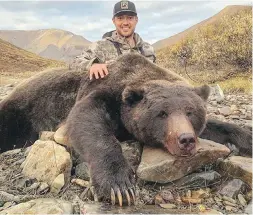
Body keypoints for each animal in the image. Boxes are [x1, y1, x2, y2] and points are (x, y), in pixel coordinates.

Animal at [0, 53, 251, 206]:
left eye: (190, 112)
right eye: (162, 113)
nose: (186, 139)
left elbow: (217, 127)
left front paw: (245, 137)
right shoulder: (100, 92)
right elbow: (85, 121)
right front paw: (119, 186)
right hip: (21, 111)